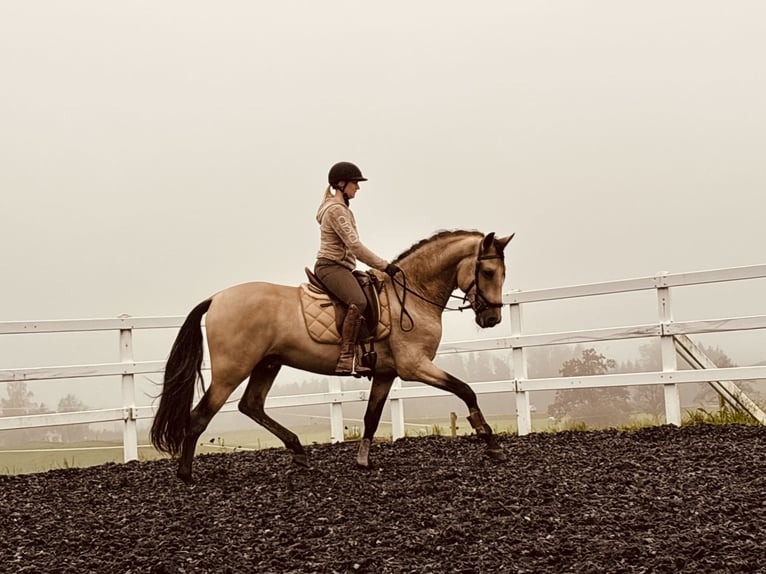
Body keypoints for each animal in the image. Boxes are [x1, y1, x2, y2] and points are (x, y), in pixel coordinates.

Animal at [152, 231, 512, 486]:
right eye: (488, 271)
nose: (492, 319)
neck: (411, 296)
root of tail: (216, 299)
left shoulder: (386, 373)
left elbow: (371, 416)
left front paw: (363, 461)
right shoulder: (415, 367)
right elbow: (466, 390)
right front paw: (490, 442)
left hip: (267, 364)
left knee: (251, 405)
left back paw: (298, 452)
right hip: (232, 370)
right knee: (200, 415)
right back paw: (186, 474)